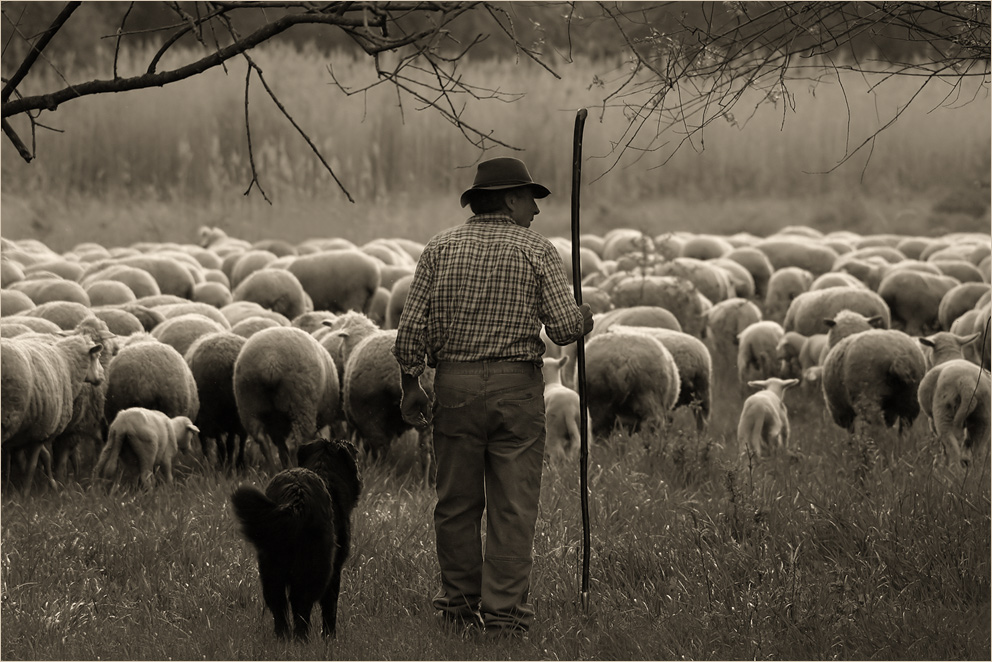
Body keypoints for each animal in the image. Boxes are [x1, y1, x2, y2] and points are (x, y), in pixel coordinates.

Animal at [0, 330, 105, 492]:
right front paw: (33, 490)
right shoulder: (41, 430)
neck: (68, 364)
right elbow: (37, 463)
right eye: (97, 356)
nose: (103, 376)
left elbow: (34, 458)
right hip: (7, 417)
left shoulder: (26, 431)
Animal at [231, 438, 362, 640]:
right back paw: (302, 639)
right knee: (301, 605)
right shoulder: (335, 569)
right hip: (316, 568)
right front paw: (330, 639)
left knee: (278, 605)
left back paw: (283, 638)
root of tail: (296, 497)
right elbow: (330, 608)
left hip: (270, 567)